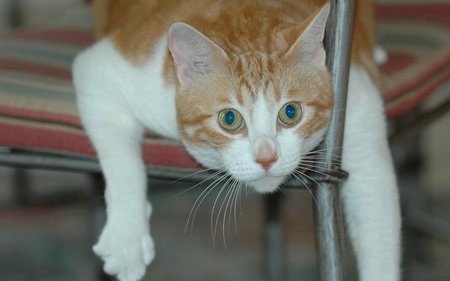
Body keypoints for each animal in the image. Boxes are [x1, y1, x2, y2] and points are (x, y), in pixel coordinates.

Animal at [73, 0, 400, 280]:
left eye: (290, 112)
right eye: (229, 119)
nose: (267, 158)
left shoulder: (356, 102)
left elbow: (376, 215)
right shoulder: (111, 73)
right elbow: (123, 163)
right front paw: (126, 236)